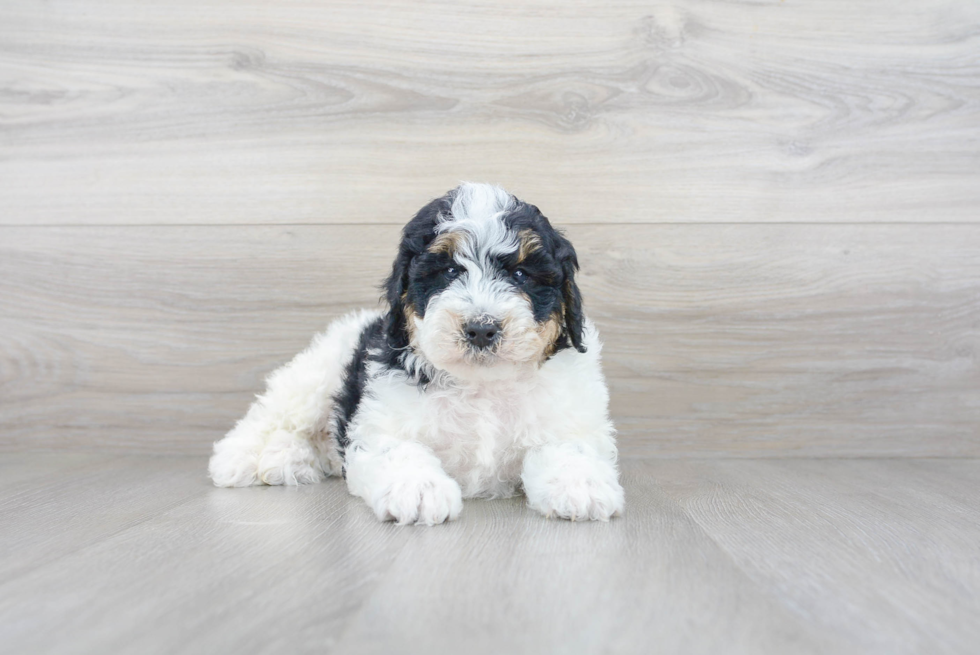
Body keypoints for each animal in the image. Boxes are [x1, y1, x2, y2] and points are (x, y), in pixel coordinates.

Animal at [210, 182, 624, 524]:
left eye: (521, 275)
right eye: (449, 271)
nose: (481, 328)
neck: (483, 386)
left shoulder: (572, 418)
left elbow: (570, 447)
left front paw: (581, 486)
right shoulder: (378, 423)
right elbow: (398, 450)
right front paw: (419, 490)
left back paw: (291, 461)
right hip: (317, 373)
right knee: (273, 416)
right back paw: (249, 459)